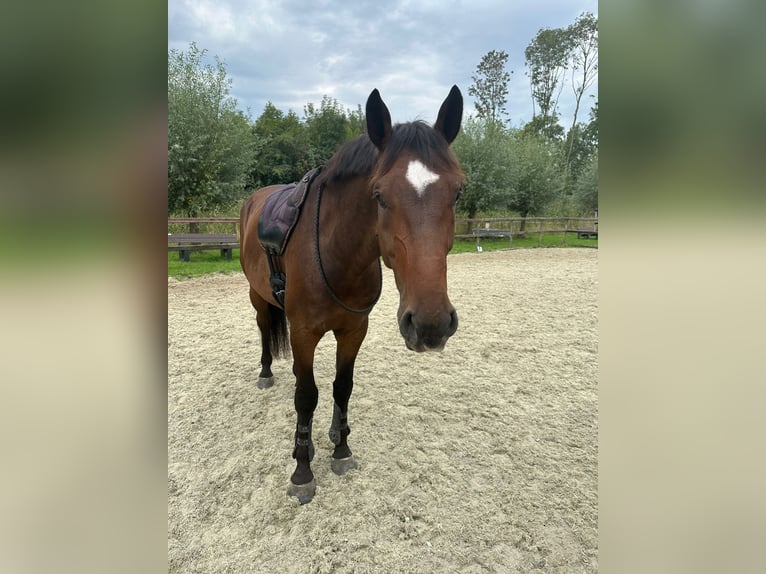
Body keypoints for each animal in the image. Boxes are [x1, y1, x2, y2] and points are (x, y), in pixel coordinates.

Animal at [239, 86, 465, 504]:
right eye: (379, 195)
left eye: (457, 193)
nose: (431, 324)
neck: (335, 252)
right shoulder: (303, 332)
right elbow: (306, 395)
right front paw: (302, 470)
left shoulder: (354, 330)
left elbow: (341, 387)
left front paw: (340, 448)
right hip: (257, 297)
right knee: (264, 330)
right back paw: (265, 373)